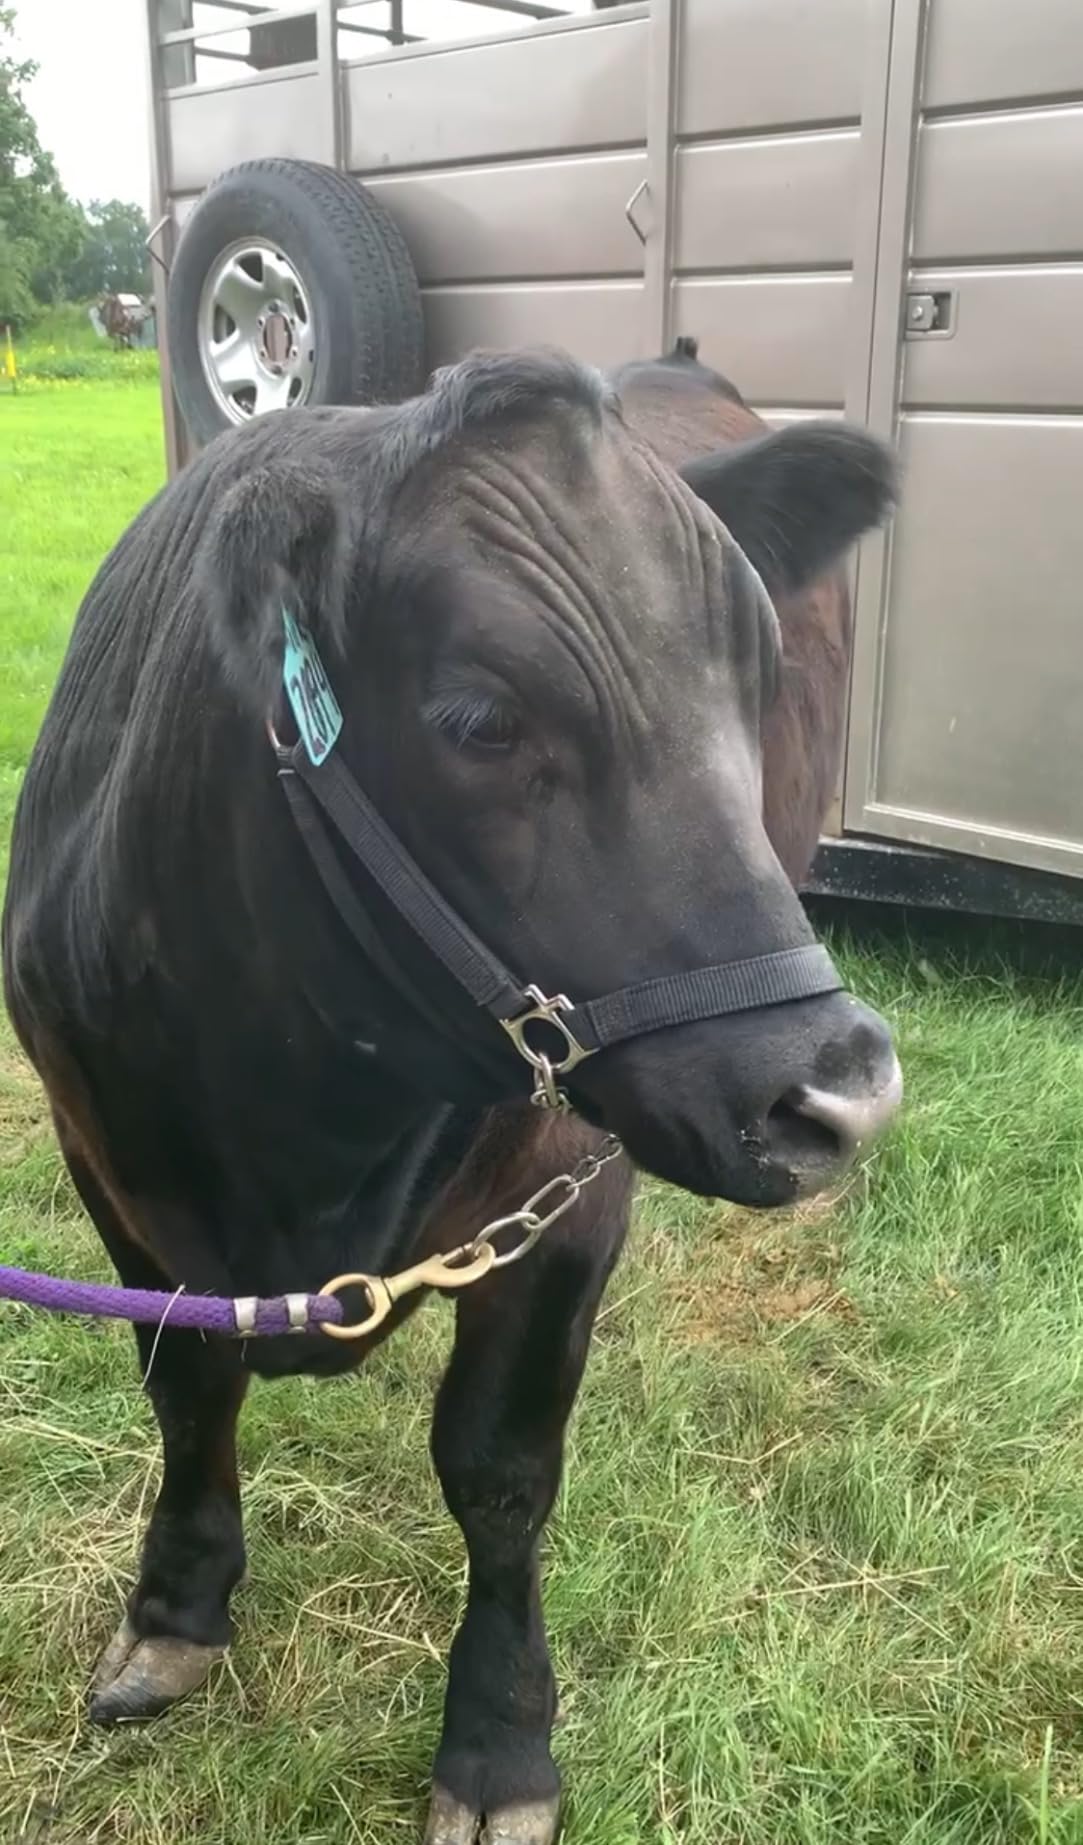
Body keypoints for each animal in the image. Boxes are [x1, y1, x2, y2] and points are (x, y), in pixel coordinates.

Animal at [2, 345, 901, 1845]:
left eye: (757, 683)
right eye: (481, 720)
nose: (836, 1095)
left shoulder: (570, 1189)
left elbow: (498, 1469)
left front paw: (497, 1744)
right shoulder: (106, 1164)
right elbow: (187, 1384)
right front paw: (176, 1609)